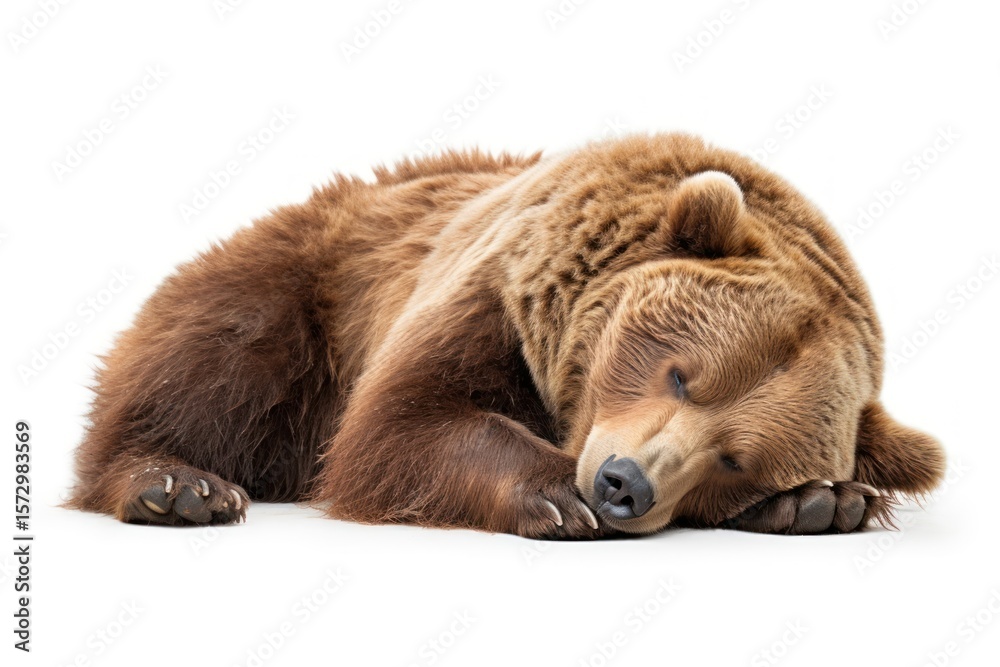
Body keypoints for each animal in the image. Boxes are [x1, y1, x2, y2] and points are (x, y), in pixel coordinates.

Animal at [67, 133, 945, 538]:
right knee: (212, 367)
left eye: (737, 458)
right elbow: (400, 423)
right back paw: (178, 483)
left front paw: (823, 500)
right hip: (293, 287)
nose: (622, 483)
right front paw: (555, 492)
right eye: (680, 370)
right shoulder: (491, 292)